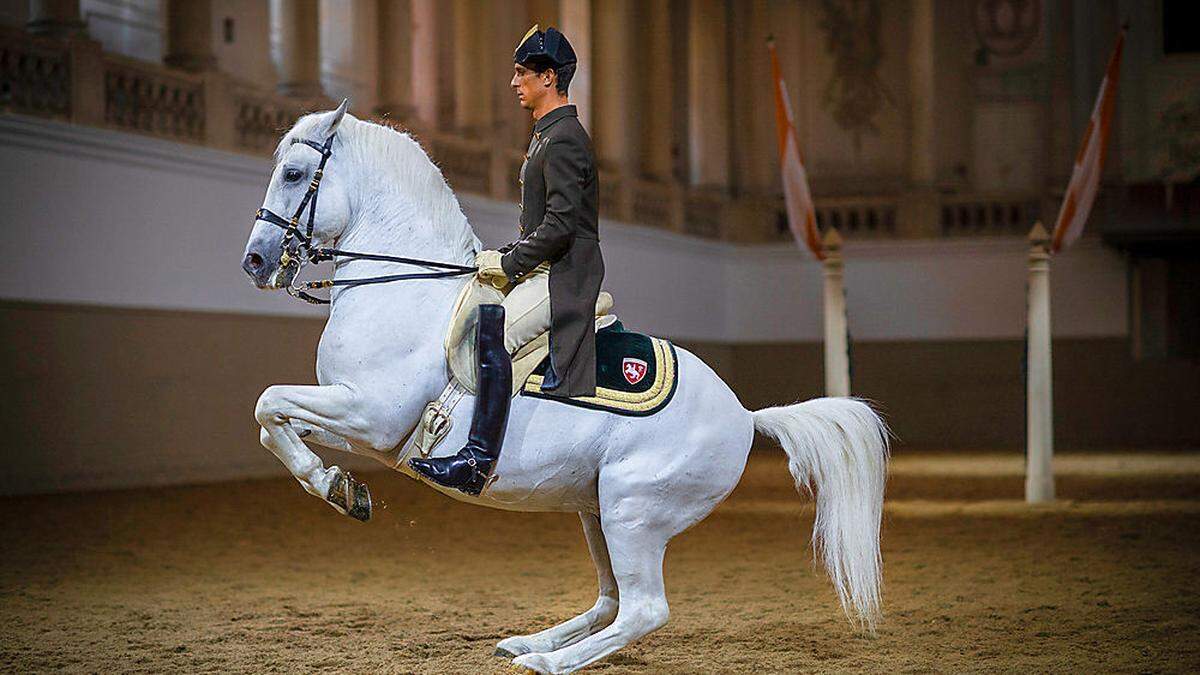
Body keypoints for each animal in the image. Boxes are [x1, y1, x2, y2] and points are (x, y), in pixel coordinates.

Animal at [238, 102, 888, 667]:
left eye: (294, 174)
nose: (255, 261)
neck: (404, 287)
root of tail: (746, 415)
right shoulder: (359, 427)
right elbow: (273, 422)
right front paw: (342, 487)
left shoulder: (371, 416)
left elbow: (267, 403)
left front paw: (332, 486)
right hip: (597, 508)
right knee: (611, 600)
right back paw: (530, 643)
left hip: (632, 510)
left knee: (643, 610)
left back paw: (548, 663)